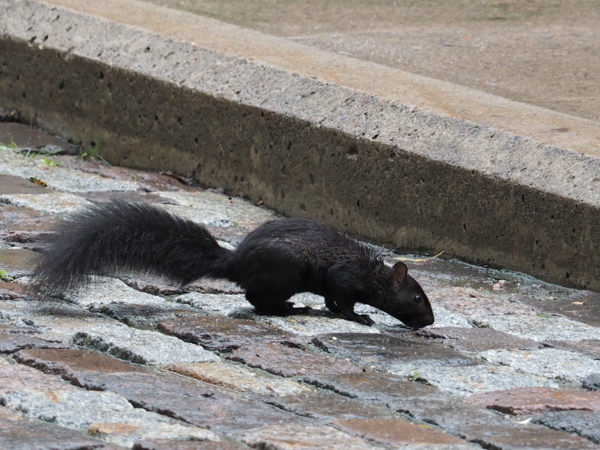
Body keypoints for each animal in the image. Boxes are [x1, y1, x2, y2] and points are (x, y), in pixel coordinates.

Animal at [32, 200, 434, 326]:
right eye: (417, 298)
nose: (430, 322)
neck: (373, 274)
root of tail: (237, 262)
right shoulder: (344, 277)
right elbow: (343, 300)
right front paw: (360, 318)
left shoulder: (336, 284)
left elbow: (332, 300)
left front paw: (336, 312)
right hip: (286, 273)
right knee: (255, 300)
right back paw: (289, 308)